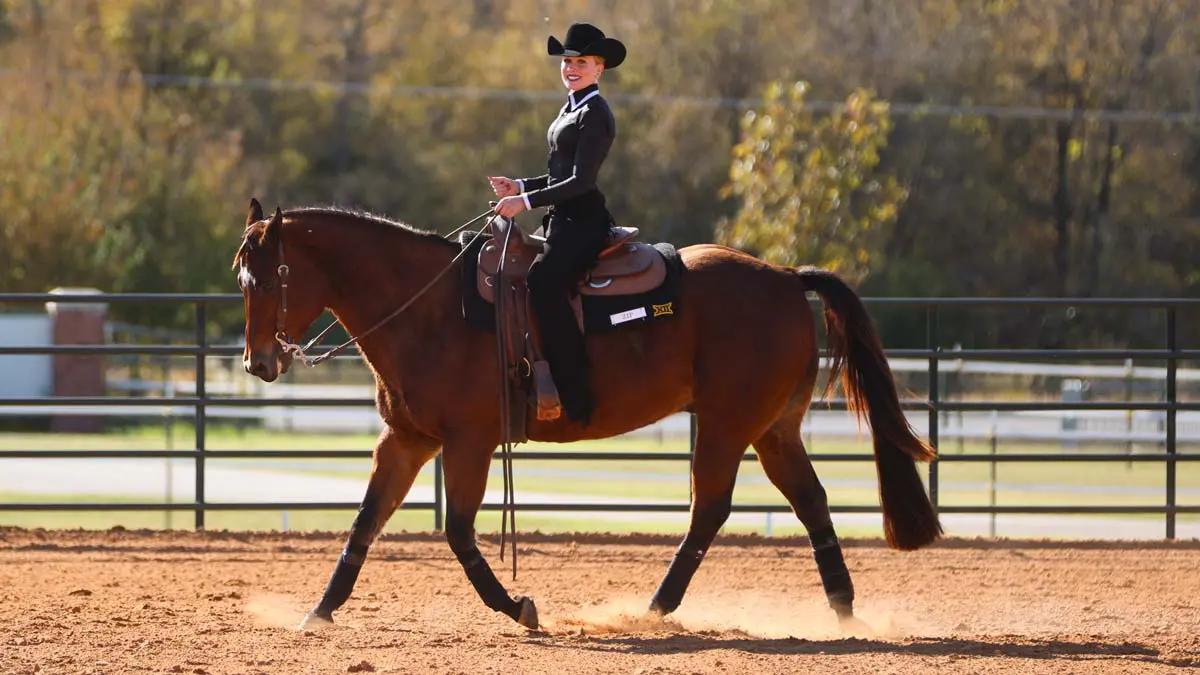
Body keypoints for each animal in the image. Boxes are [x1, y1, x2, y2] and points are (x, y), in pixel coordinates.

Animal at [231, 196, 936, 629]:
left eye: (264, 278)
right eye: (242, 279)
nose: (258, 363)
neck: (430, 309)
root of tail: (787, 276)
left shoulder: (469, 442)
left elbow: (458, 532)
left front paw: (518, 607)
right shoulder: (405, 441)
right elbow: (364, 523)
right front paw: (319, 613)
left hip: (727, 426)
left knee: (710, 509)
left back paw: (655, 607)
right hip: (772, 429)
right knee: (810, 500)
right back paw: (842, 609)